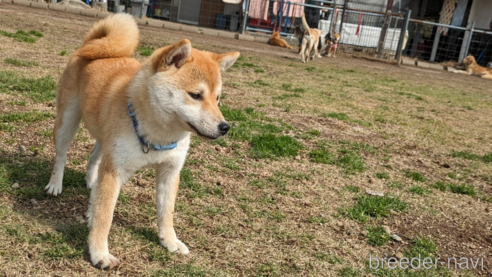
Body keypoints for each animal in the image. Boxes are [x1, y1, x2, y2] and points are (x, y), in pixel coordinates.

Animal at [44, 14, 240, 268]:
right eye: (196, 95)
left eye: (218, 99)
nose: (225, 127)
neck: (159, 133)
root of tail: (90, 44)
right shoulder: (114, 171)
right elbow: (105, 217)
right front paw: (99, 253)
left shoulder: (170, 171)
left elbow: (166, 212)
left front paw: (170, 241)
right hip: (67, 121)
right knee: (61, 155)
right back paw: (55, 184)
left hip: (105, 137)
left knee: (94, 157)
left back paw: (92, 182)